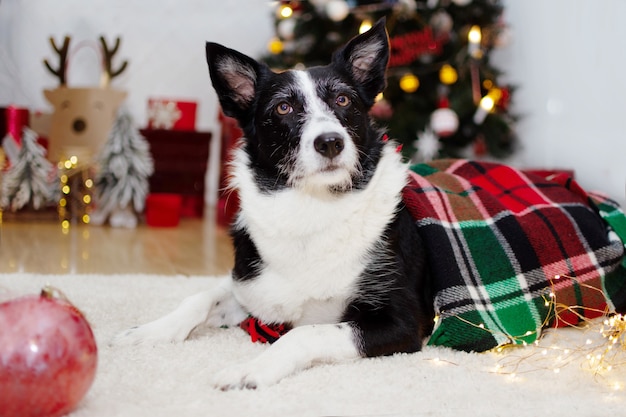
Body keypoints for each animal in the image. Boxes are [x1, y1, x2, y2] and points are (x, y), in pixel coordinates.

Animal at [113, 18, 434, 390]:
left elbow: (306, 333)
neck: (312, 206)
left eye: (343, 99)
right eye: (284, 107)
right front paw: (150, 331)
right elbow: (201, 297)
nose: (330, 143)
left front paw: (251, 369)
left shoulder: (402, 323)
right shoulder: (251, 284)